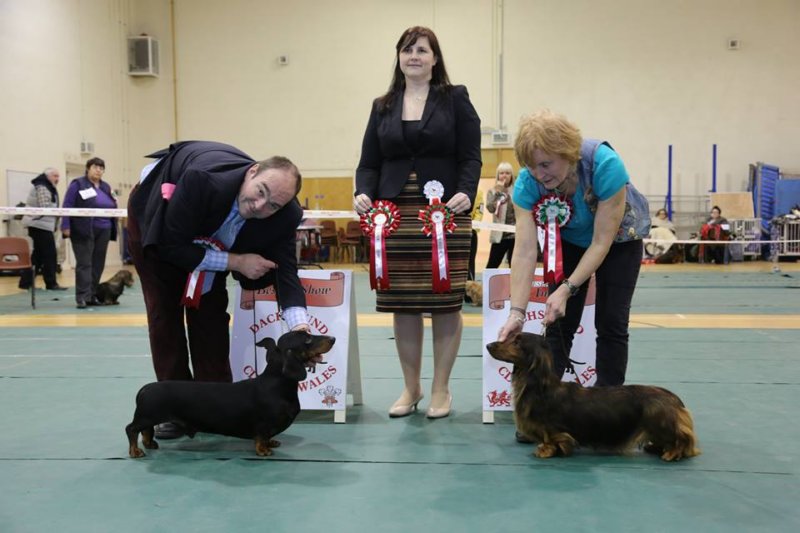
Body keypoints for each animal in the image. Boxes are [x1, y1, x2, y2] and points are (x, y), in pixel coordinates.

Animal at [482, 332, 700, 462]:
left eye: (517, 342)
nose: (489, 345)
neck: (540, 387)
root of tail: (675, 400)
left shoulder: (552, 429)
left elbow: (551, 439)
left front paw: (545, 450)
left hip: (660, 421)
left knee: (684, 440)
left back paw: (672, 453)